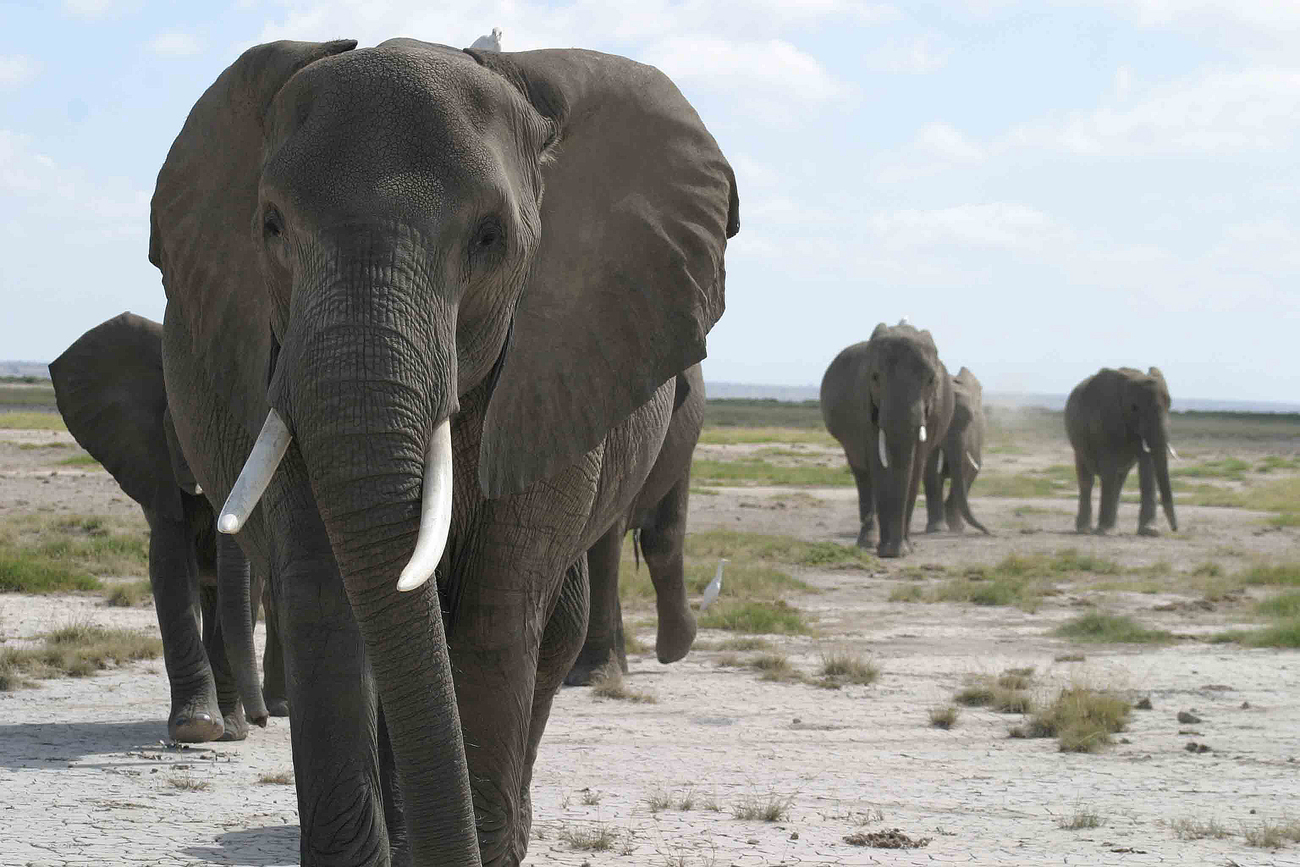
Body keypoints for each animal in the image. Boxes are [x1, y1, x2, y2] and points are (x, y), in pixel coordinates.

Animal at [50, 315, 287, 743]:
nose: (259, 720)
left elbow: (247, 586)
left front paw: (229, 732)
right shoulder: (153, 462)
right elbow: (170, 566)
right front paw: (196, 726)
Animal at [1066, 363, 1180, 535]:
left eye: (1170, 404)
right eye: (1134, 408)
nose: (1175, 528)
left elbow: (1147, 466)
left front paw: (1150, 531)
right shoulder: (1105, 419)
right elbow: (1109, 466)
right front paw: (1105, 531)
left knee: (1119, 480)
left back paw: (1112, 528)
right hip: (1078, 442)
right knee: (1087, 479)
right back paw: (1086, 529)